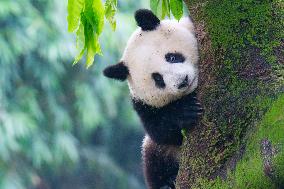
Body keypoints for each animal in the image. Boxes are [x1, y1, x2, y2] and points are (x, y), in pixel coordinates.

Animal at [102, 9, 202, 189]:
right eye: (158, 79)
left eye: (171, 57)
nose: (182, 81)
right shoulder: (143, 105)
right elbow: (160, 131)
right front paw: (186, 111)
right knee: (154, 158)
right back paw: (167, 182)